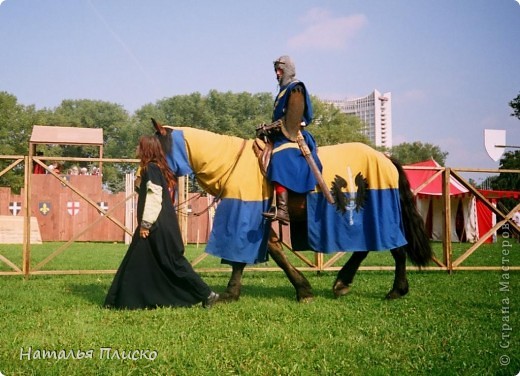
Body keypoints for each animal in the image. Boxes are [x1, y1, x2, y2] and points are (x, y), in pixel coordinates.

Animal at [151, 119, 434, 302]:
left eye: (153, 150)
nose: (149, 176)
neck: (230, 162)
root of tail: (385, 158)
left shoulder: (246, 215)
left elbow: (246, 256)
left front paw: (230, 294)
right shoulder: (257, 221)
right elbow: (272, 251)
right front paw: (301, 289)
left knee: (396, 250)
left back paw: (395, 290)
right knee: (365, 249)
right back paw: (343, 283)